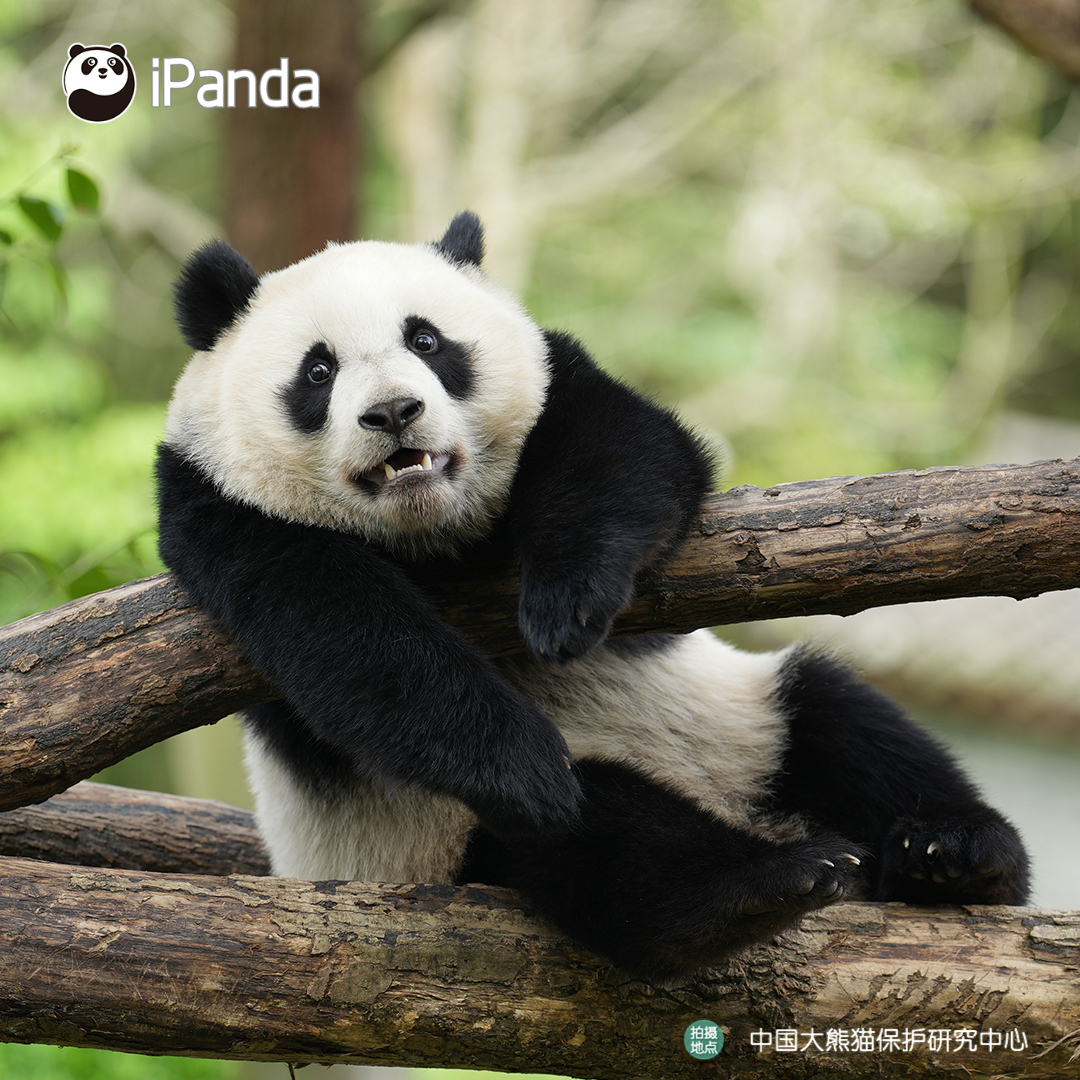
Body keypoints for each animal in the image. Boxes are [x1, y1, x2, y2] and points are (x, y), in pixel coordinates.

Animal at [157, 213, 1030, 982]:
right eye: (318, 371)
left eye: (428, 341)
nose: (394, 412)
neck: (431, 534)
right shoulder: (219, 511)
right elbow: (343, 630)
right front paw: (517, 760)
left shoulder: (560, 380)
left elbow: (629, 452)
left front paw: (567, 602)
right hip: (448, 842)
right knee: (606, 844)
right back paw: (752, 888)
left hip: (743, 722)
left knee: (842, 720)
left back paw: (954, 858)